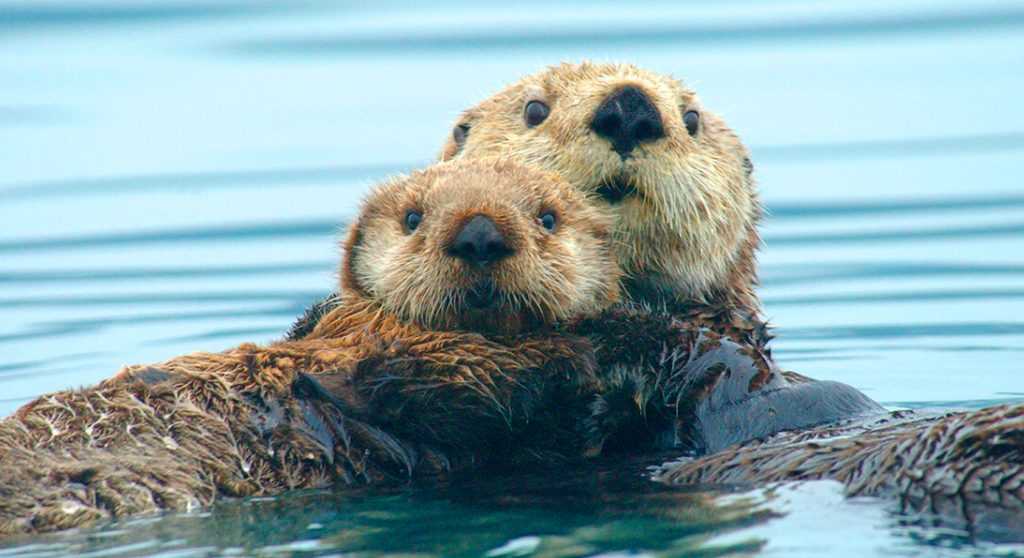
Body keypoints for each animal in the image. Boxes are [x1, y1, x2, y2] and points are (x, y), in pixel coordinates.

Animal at [0, 157, 614, 536]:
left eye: (548, 218)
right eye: (413, 217)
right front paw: (578, 356)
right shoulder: (372, 348)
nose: (480, 234)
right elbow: (429, 381)